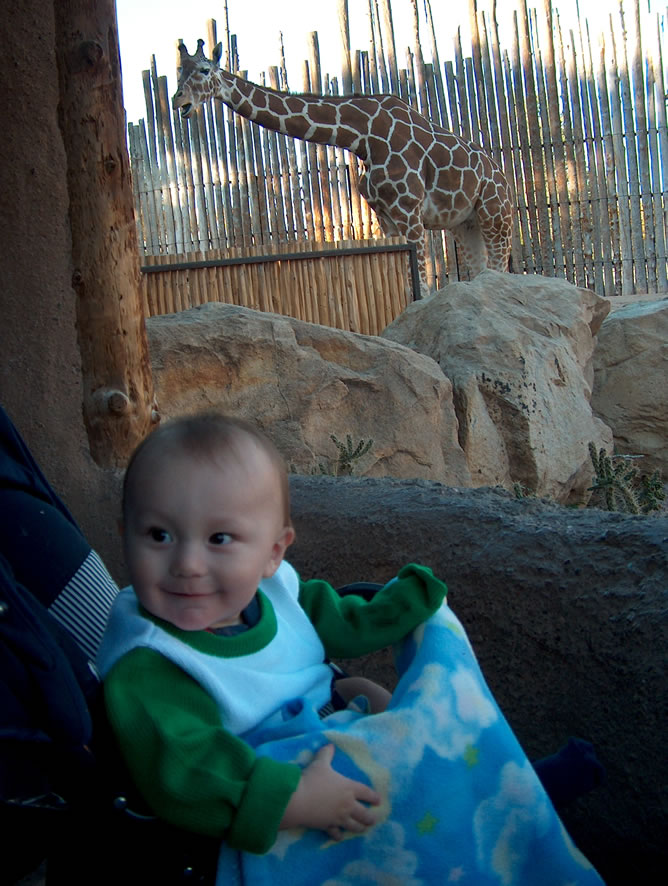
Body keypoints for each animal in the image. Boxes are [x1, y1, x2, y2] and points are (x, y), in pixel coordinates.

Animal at [171, 40, 512, 290]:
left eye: (204, 69)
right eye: (178, 70)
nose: (178, 101)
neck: (362, 137)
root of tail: (502, 175)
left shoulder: (409, 212)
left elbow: (423, 285)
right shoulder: (387, 217)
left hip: (496, 217)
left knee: (501, 269)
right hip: (464, 224)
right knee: (483, 273)